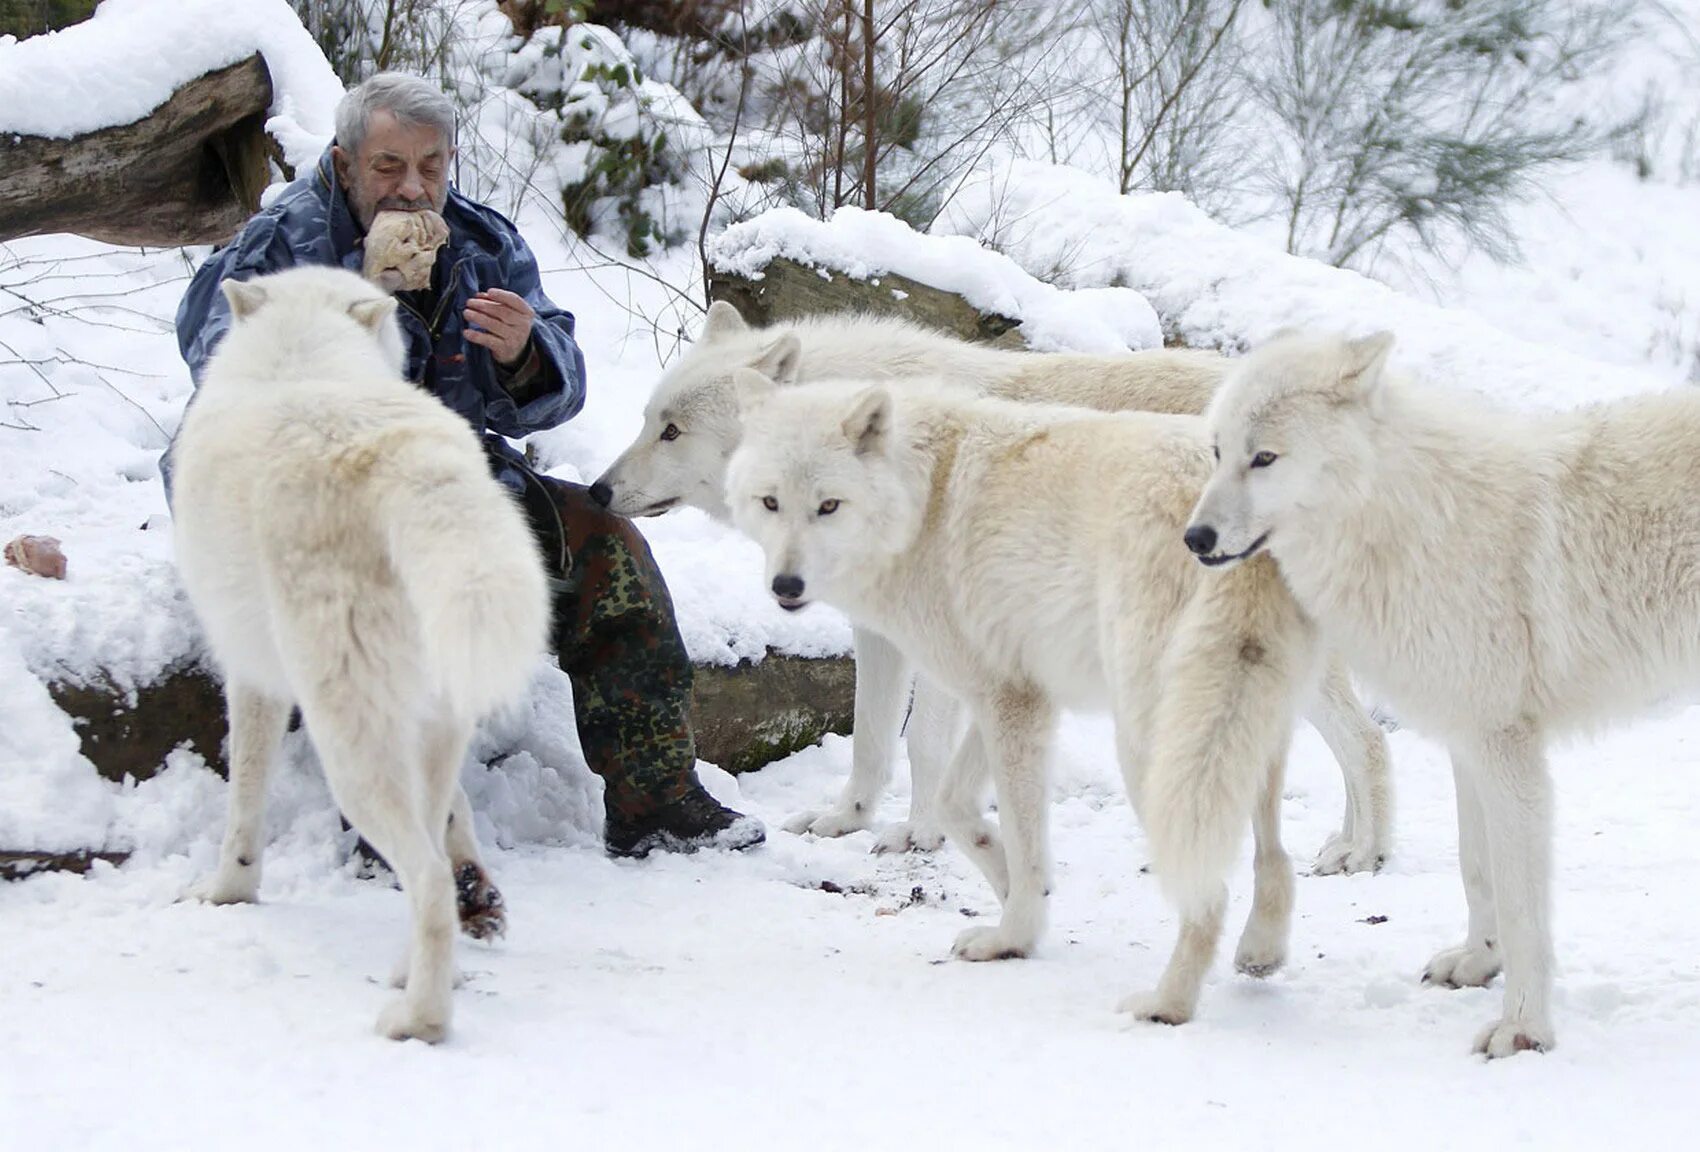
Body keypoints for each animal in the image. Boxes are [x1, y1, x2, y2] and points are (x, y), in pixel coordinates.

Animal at [170, 266, 547, 1039]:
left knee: (425, 878)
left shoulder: (252, 680)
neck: (300, 353)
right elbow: (460, 812)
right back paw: (420, 966)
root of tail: (404, 462)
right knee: (432, 849)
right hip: (428, 723)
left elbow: (243, 805)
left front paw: (227, 893)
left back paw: (418, 1019)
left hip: (347, 746)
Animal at [598, 302, 1394, 869]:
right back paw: (1346, 844)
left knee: (1367, 743)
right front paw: (847, 821)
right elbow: (871, 741)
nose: (598, 490)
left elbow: (922, 744)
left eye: (673, 432)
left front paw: (918, 835)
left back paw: (1365, 854)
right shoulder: (883, 634)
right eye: (645, 421)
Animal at [724, 378, 1319, 1026]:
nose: (786, 586)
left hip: (1153, 746)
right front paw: (1011, 887)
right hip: (1245, 727)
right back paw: (1261, 952)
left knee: (1209, 891)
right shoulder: (1009, 693)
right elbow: (955, 807)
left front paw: (1014, 936)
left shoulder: (1011, 703)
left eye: (829, 506)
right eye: (770, 503)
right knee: (1274, 857)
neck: (922, 501)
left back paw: (1167, 1004)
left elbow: (1019, 838)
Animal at [1183, 329, 1700, 1060]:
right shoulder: (1467, 741)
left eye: (1265, 458)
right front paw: (1478, 963)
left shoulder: (1507, 749)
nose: (1194, 539)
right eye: (1217, 452)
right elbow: (1475, 870)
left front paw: (1522, 1030)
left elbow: (1521, 904)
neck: (1404, 522)